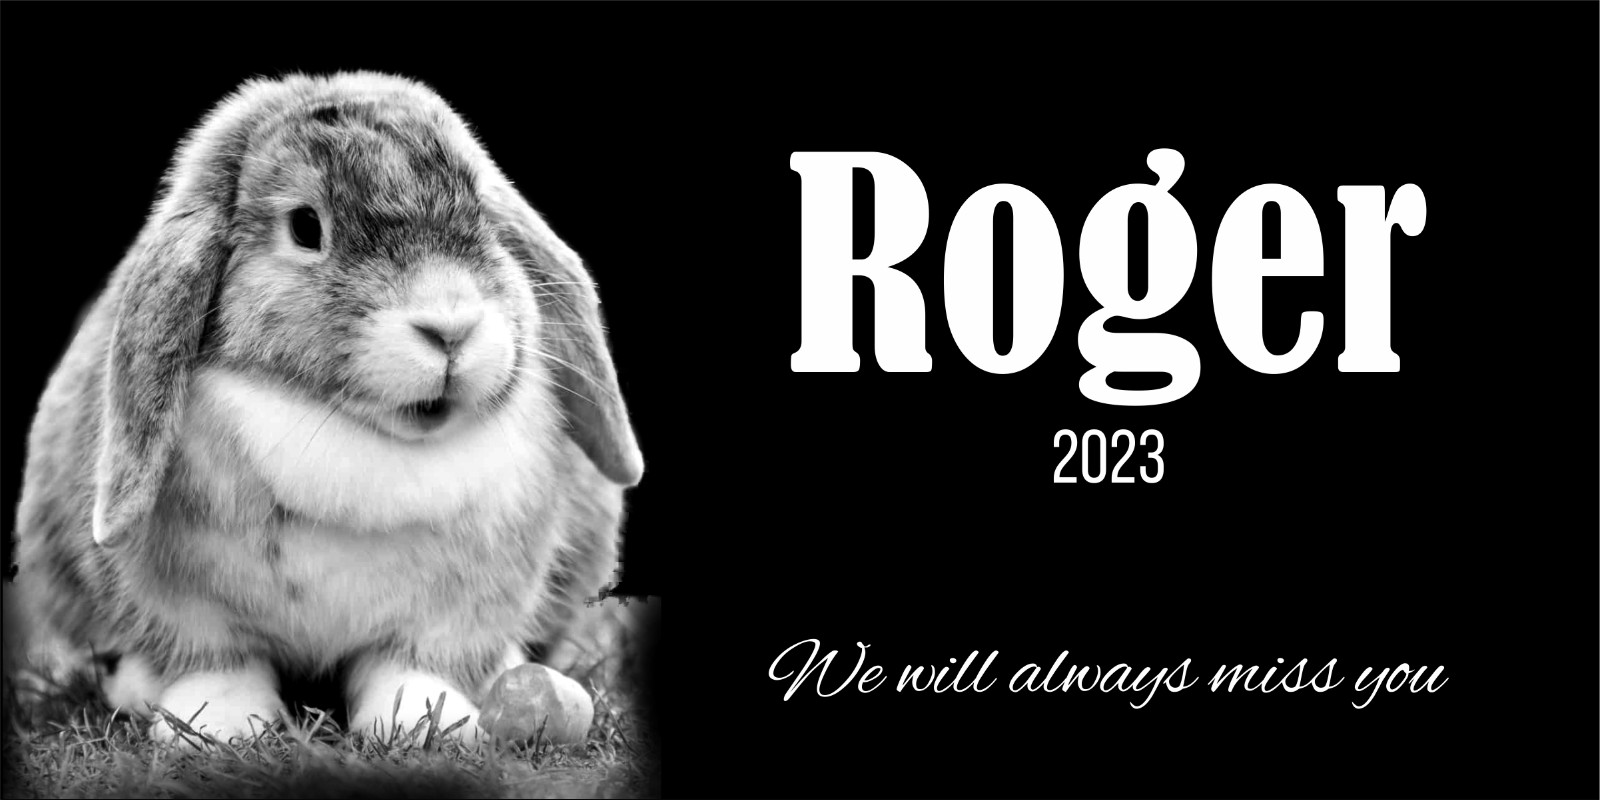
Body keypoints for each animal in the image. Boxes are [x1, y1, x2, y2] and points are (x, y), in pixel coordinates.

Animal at [7, 71, 643, 745]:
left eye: (480, 212)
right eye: (306, 227)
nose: (451, 327)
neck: (353, 434)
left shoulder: (458, 610)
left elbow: (411, 664)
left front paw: (426, 723)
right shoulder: (184, 608)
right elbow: (218, 663)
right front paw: (219, 727)